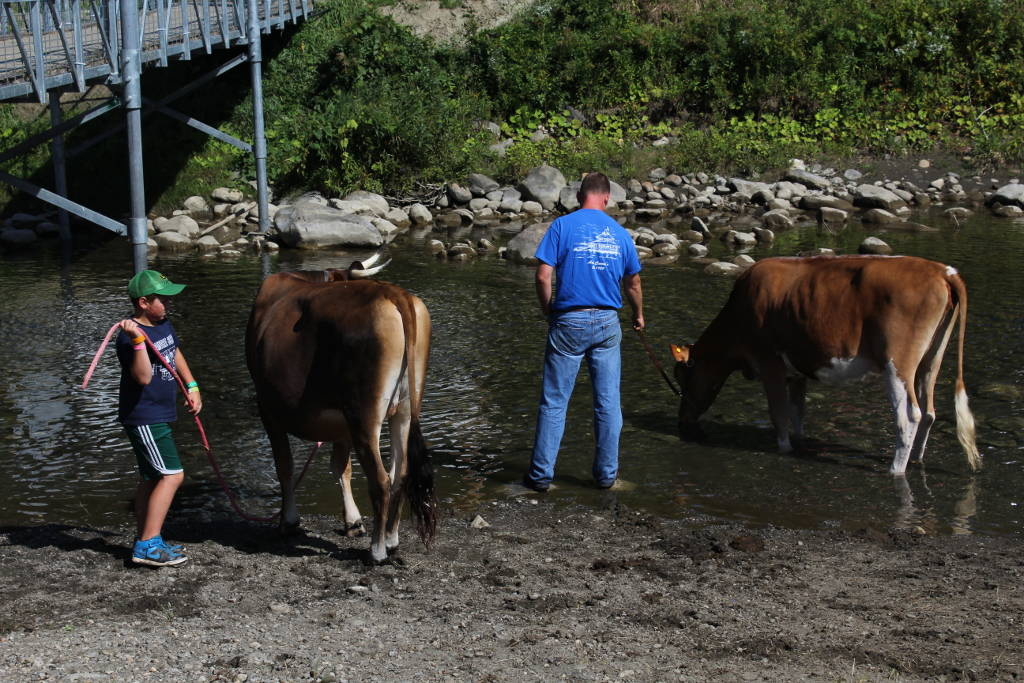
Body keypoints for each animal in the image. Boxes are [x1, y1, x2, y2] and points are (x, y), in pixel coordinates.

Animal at [245, 255, 434, 561]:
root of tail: (394, 293)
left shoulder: (267, 407)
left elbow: (285, 466)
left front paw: (288, 522)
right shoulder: (341, 422)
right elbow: (341, 468)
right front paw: (353, 521)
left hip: (364, 412)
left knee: (381, 479)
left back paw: (377, 550)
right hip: (404, 409)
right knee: (401, 473)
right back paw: (392, 540)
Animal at [671, 252, 983, 475]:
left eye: (682, 377)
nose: (682, 418)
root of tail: (941, 270)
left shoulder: (769, 362)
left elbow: (778, 413)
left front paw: (784, 448)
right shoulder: (796, 371)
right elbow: (797, 411)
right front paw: (799, 443)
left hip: (898, 364)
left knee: (909, 415)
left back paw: (896, 469)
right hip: (931, 359)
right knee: (929, 412)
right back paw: (917, 461)